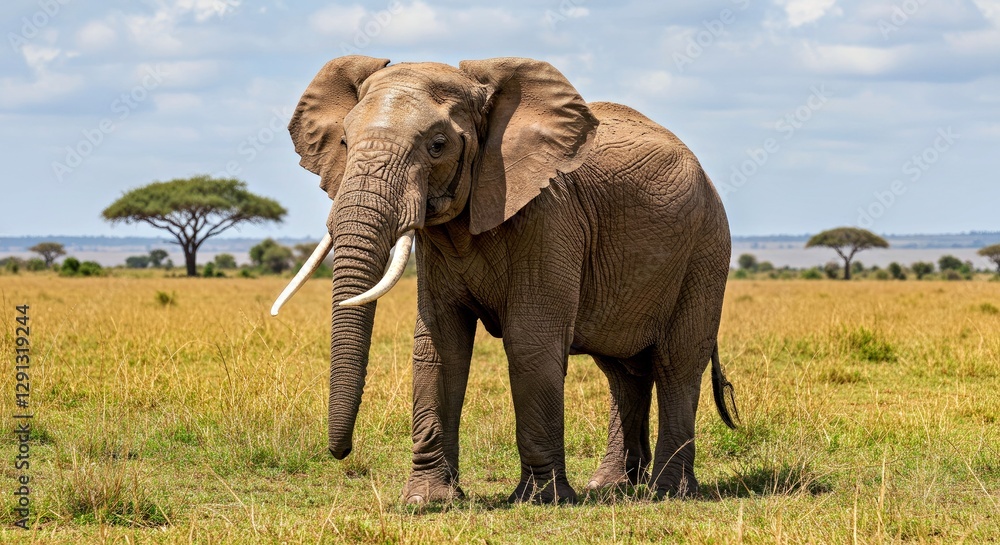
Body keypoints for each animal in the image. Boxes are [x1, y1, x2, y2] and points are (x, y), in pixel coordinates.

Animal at [271, 56, 739, 504]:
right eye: (344, 143)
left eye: (437, 146)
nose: (340, 452)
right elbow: (441, 345)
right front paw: (426, 500)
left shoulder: (549, 218)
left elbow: (530, 342)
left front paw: (541, 500)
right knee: (622, 372)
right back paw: (611, 487)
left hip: (706, 248)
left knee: (676, 363)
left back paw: (669, 491)